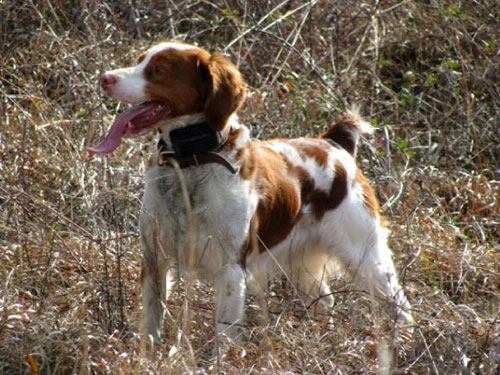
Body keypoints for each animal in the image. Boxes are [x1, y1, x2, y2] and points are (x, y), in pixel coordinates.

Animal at [88, 42, 412, 346]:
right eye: (140, 60)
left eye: (158, 69)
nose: (104, 78)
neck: (192, 161)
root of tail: (335, 143)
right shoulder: (154, 258)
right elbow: (151, 324)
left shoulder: (231, 269)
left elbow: (223, 336)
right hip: (300, 261)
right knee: (325, 299)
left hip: (366, 255)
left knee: (400, 304)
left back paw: (406, 341)